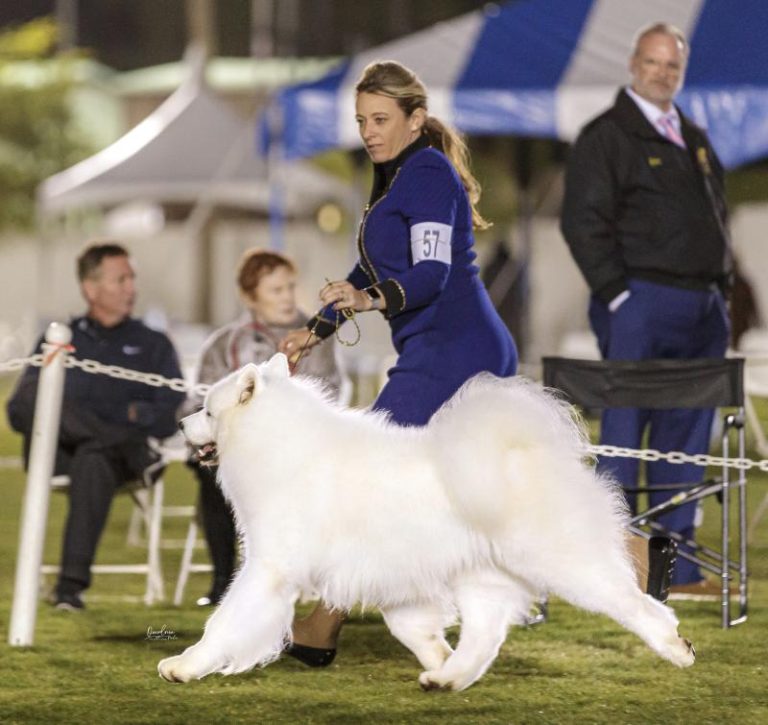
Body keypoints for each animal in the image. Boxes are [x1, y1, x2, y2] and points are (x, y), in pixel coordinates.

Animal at [159, 352, 692, 692]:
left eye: (208, 410)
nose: (181, 424)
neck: (279, 446)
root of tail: (531, 450)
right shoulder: (395, 578)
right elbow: (415, 631)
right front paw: (440, 658)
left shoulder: (269, 568)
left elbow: (226, 621)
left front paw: (184, 665)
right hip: (483, 577)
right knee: (484, 634)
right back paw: (448, 678)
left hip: (563, 563)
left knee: (632, 602)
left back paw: (676, 644)